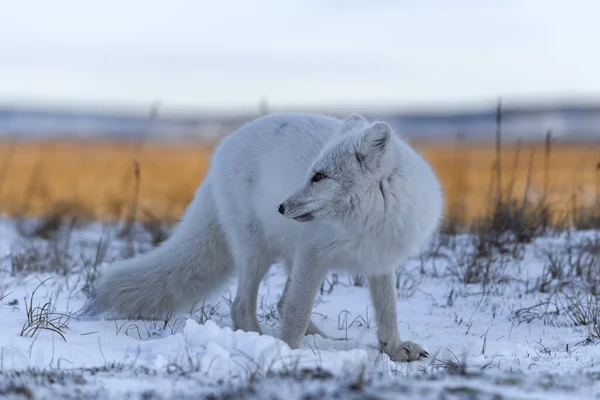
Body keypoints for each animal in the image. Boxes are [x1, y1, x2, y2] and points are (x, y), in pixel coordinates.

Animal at [82, 111, 442, 362]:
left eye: (320, 177)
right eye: (310, 174)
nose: (281, 206)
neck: (365, 221)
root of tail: (220, 152)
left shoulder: (379, 261)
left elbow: (388, 312)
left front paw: (395, 350)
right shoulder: (313, 254)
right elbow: (298, 311)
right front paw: (287, 353)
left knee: (280, 302)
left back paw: (323, 340)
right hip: (257, 251)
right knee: (242, 306)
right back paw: (259, 341)